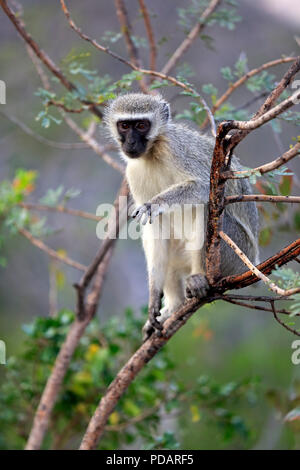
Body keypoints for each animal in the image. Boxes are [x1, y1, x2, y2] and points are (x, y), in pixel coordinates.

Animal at [104, 92, 258, 338]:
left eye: (141, 125)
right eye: (125, 125)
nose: (131, 143)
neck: (152, 152)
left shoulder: (175, 148)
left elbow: (205, 186)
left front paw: (154, 204)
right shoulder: (133, 171)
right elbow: (155, 228)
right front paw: (153, 299)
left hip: (237, 257)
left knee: (209, 207)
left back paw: (199, 278)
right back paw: (174, 305)